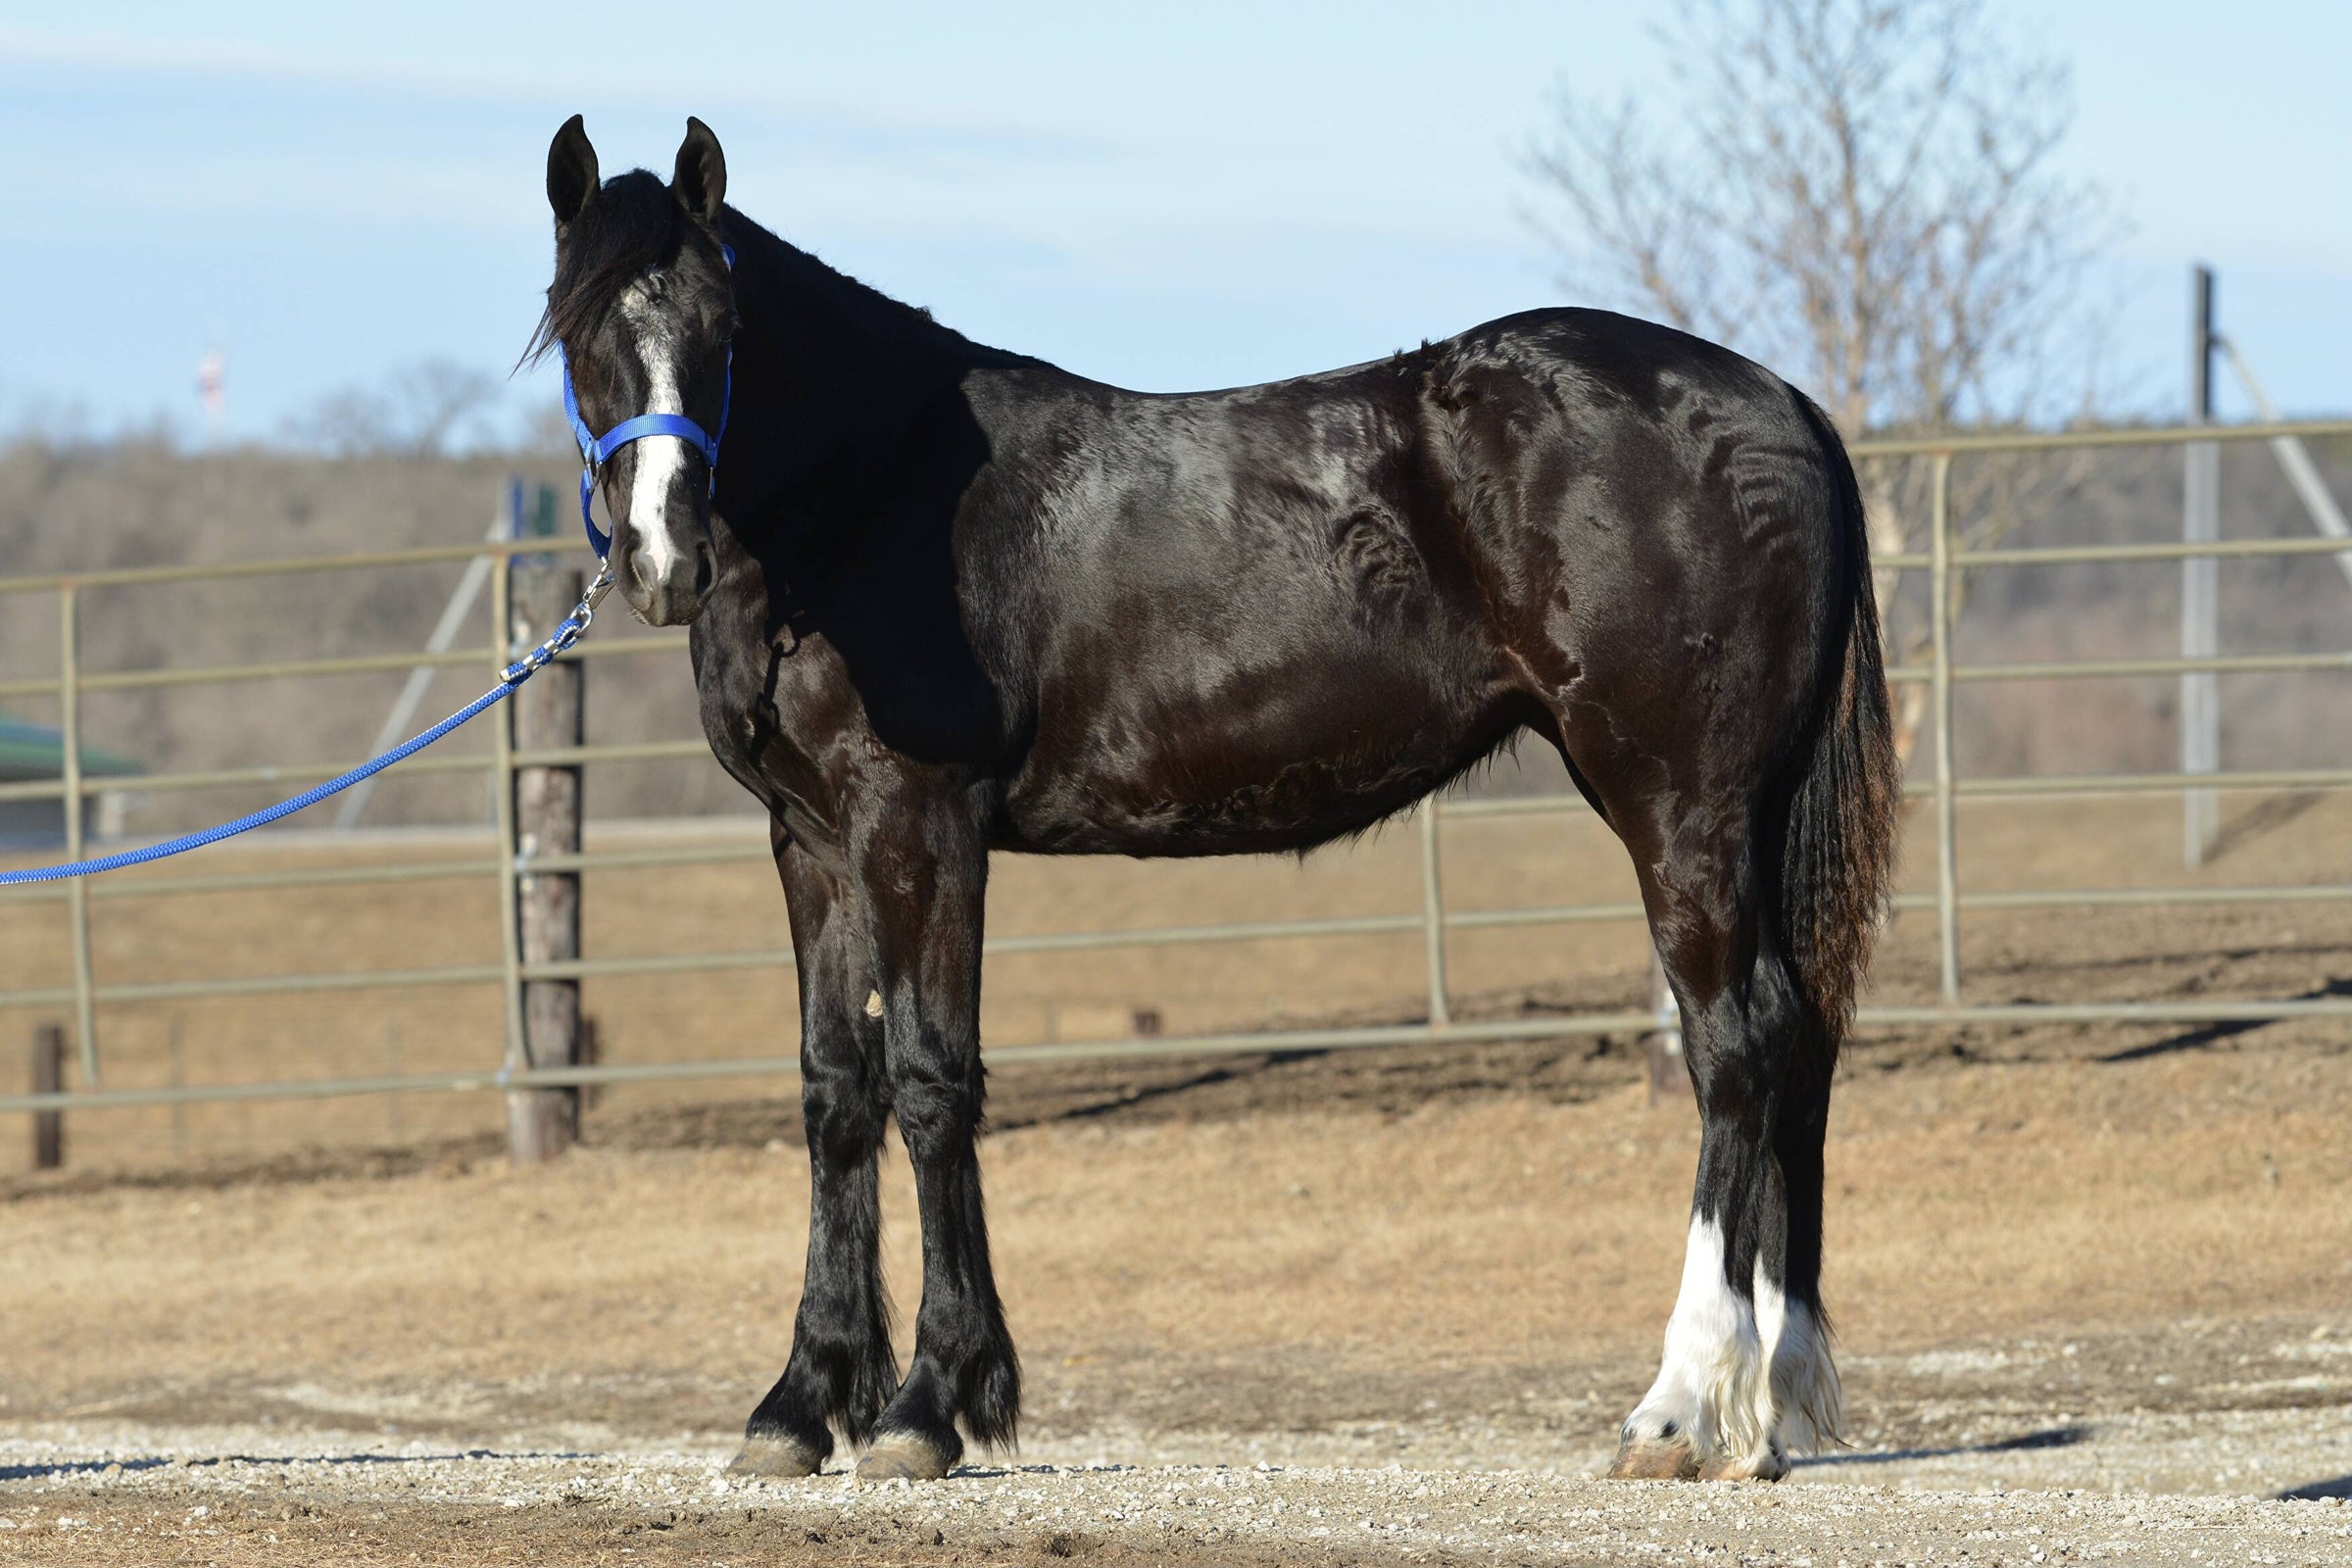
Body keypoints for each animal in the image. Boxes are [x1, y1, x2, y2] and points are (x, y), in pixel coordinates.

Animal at [530, 115, 1901, 1484]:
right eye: (580, 332)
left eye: (723, 329)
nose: (663, 557)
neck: (873, 494)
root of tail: (1784, 405)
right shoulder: (810, 841)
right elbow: (834, 1089)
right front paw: (800, 1402)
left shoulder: (919, 825)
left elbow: (928, 1078)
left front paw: (931, 1402)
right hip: (1739, 812)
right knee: (1800, 1034)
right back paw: (1771, 1402)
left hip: (1678, 802)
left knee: (1735, 1040)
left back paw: (1680, 1404)